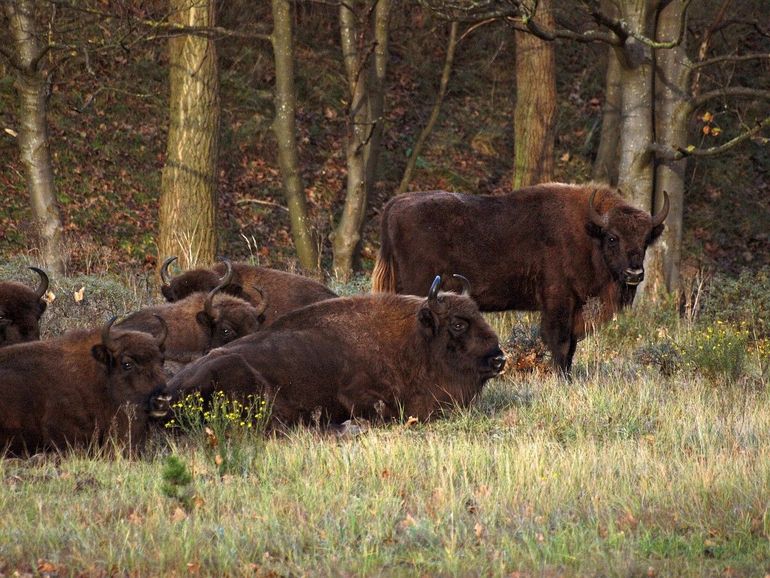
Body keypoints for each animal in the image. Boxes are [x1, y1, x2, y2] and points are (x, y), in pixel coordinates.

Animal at [164, 274, 504, 428]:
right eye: (457, 324)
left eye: (479, 316)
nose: (499, 359)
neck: (412, 341)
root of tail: (171, 389)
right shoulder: (357, 395)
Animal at [370, 183, 664, 374]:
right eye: (613, 238)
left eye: (645, 240)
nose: (635, 274)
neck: (589, 232)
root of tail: (394, 205)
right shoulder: (558, 301)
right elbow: (560, 342)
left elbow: (570, 346)